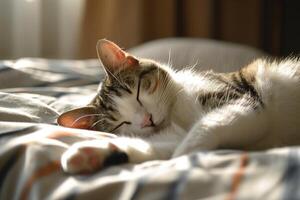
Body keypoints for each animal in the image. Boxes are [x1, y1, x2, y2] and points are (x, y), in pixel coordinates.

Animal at [58, 38, 300, 173]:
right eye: (120, 123)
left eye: (137, 93)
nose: (147, 120)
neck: (176, 111)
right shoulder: (174, 131)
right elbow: (163, 144)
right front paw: (92, 153)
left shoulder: (243, 99)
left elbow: (205, 128)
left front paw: (185, 155)